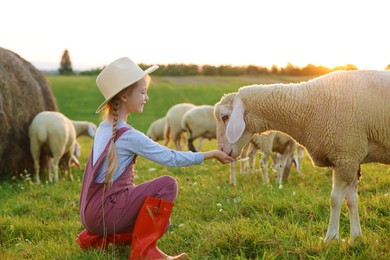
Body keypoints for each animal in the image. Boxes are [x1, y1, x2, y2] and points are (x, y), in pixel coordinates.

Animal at [213, 69, 390, 244]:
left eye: (225, 117)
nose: (221, 149)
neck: (307, 106)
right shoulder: (350, 157)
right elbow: (352, 200)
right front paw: (355, 238)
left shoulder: (345, 155)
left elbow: (335, 200)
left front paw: (331, 238)